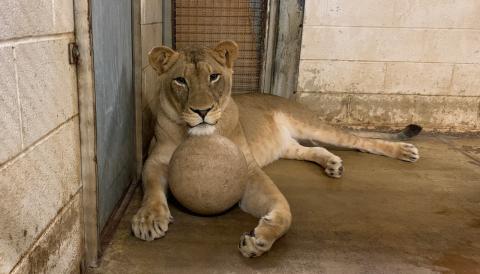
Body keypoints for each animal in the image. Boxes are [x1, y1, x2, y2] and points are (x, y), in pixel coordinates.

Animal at [131, 40, 420, 256]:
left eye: (214, 76)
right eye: (180, 81)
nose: (202, 111)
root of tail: (283, 98)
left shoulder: (248, 170)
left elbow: (284, 210)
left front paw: (260, 239)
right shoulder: (154, 160)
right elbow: (152, 188)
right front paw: (149, 219)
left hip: (313, 125)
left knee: (360, 141)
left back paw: (405, 151)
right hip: (288, 146)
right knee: (311, 150)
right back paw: (332, 164)